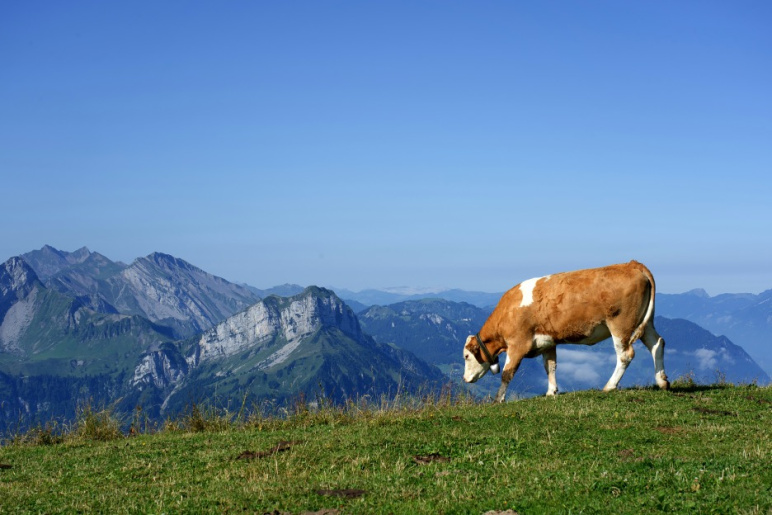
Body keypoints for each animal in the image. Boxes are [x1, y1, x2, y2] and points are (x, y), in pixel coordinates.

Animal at [462, 261, 669, 402]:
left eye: (466, 356)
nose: (465, 378)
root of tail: (631, 264)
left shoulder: (518, 343)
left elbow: (507, 373)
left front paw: (498, 399)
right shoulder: (547, 341)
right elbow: (550, 366)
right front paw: (551, 391)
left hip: (620, 324)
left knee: (625, 354)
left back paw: (609, 386)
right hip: (645, 323)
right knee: (657, 344)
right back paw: (662, 382)